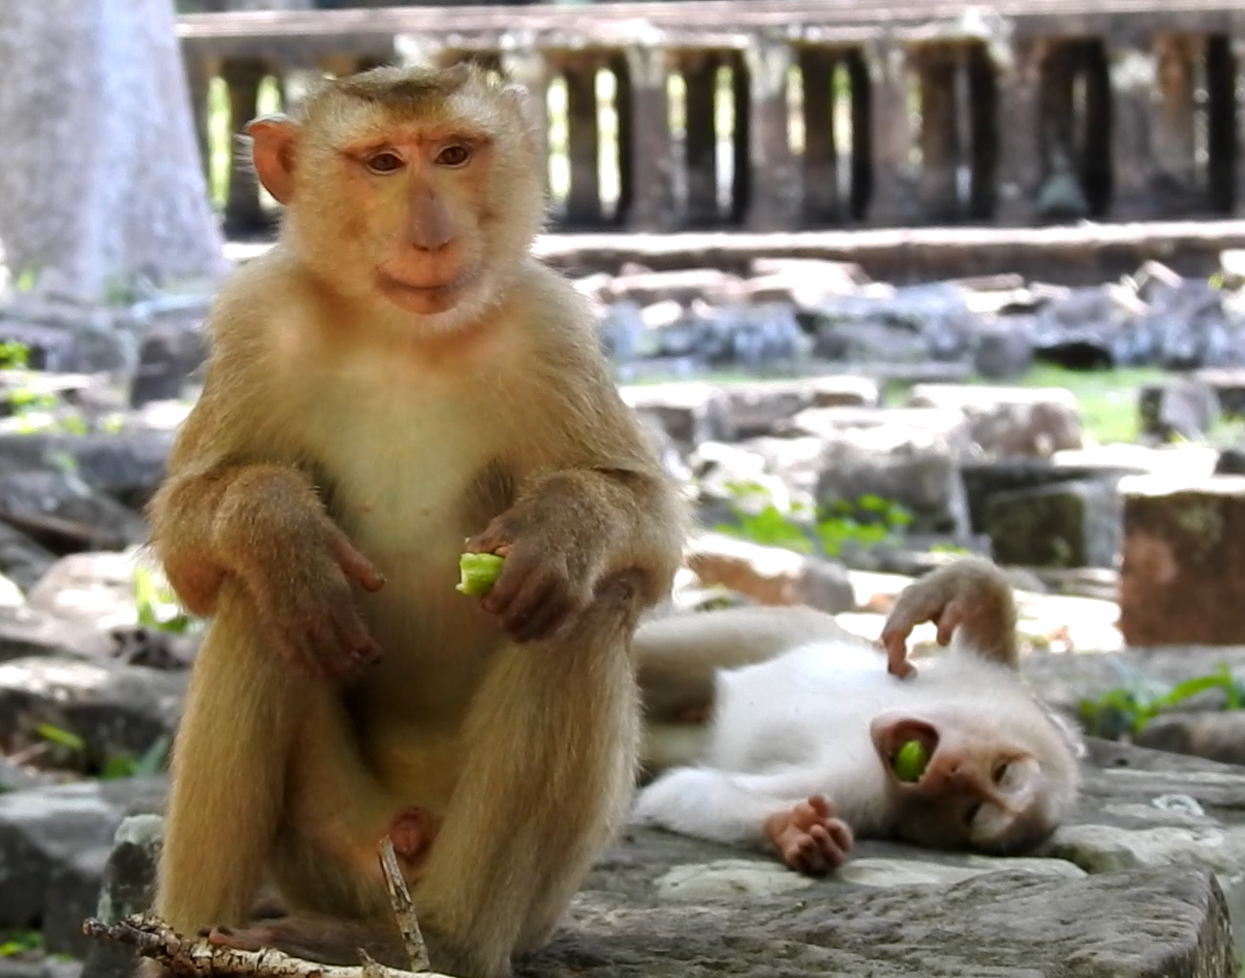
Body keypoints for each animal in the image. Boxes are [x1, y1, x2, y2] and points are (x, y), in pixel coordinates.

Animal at [143, 62, 686, 978]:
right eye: (384, 163)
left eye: (455, 154)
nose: (431, 236)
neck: (401, 333)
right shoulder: (256, 315)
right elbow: (193, 540)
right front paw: (277, 530)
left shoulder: (551, 327)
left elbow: (645, 532)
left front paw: (562, 528)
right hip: (333, 848)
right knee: (263, 610)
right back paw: (183, 942)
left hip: (524, 892)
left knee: (581, 612)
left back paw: (449, 940)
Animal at [628, 557, 1084, 873]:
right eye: (1002, 771)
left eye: (972, 810)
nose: (953, 770)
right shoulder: (991, 687)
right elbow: (991, 647)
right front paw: (960, 589)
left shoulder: (865, 793)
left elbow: (682, 791)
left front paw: (788, 829)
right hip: (786, 630)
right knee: (663, 651)